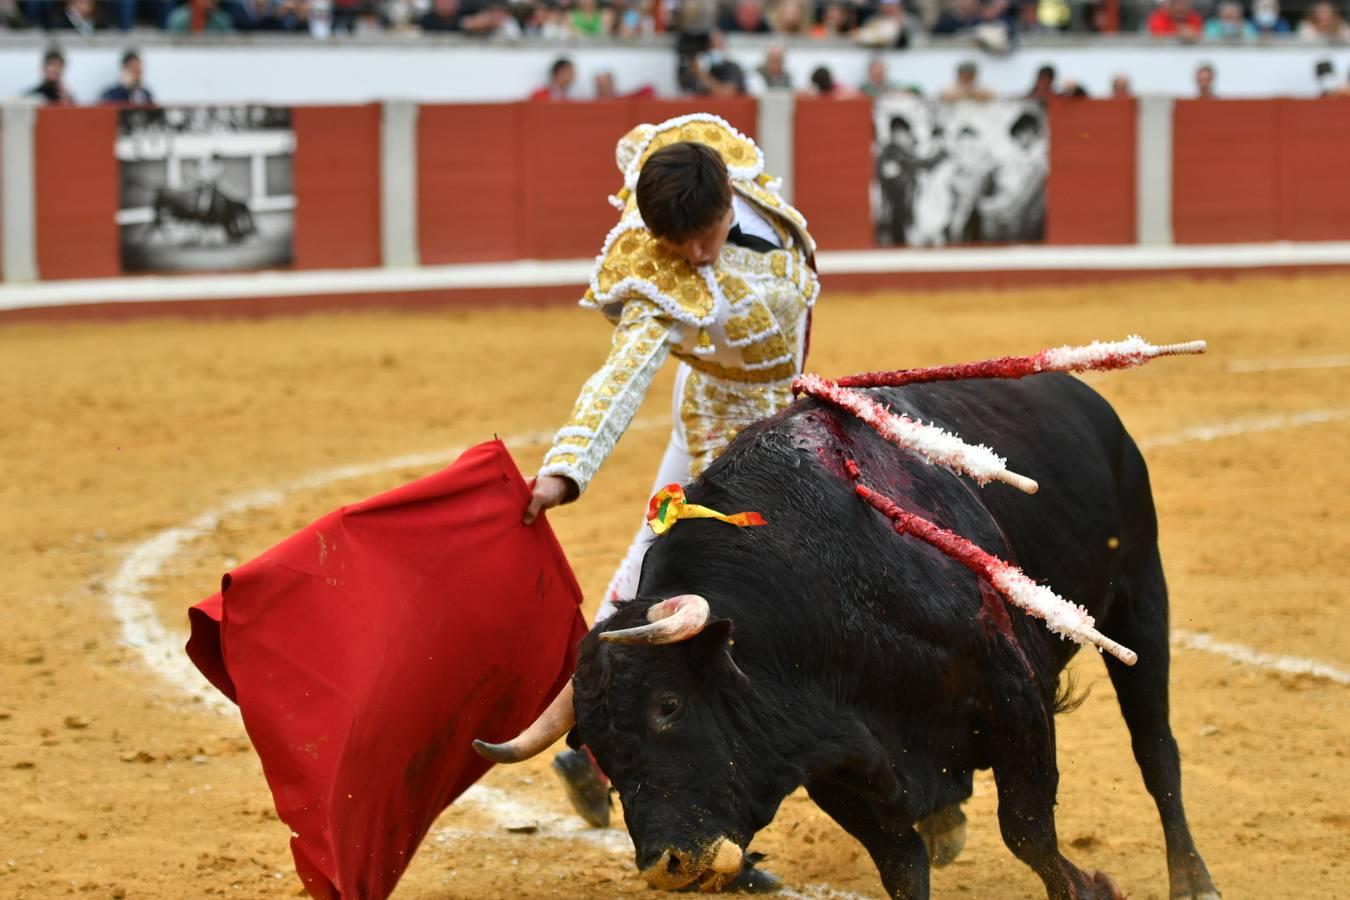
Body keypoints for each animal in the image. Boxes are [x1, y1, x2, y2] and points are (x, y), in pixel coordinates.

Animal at [496, 372, 1225, 900]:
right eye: (596, 747)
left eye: (668, 705)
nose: (668, 865)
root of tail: (1081, 395)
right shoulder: (832, 758)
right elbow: (901, 866)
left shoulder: (1009, 688)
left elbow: (1026, 831)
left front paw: (1092, 887)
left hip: (1140, 594)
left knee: (1156, 749)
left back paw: (1193, 881)